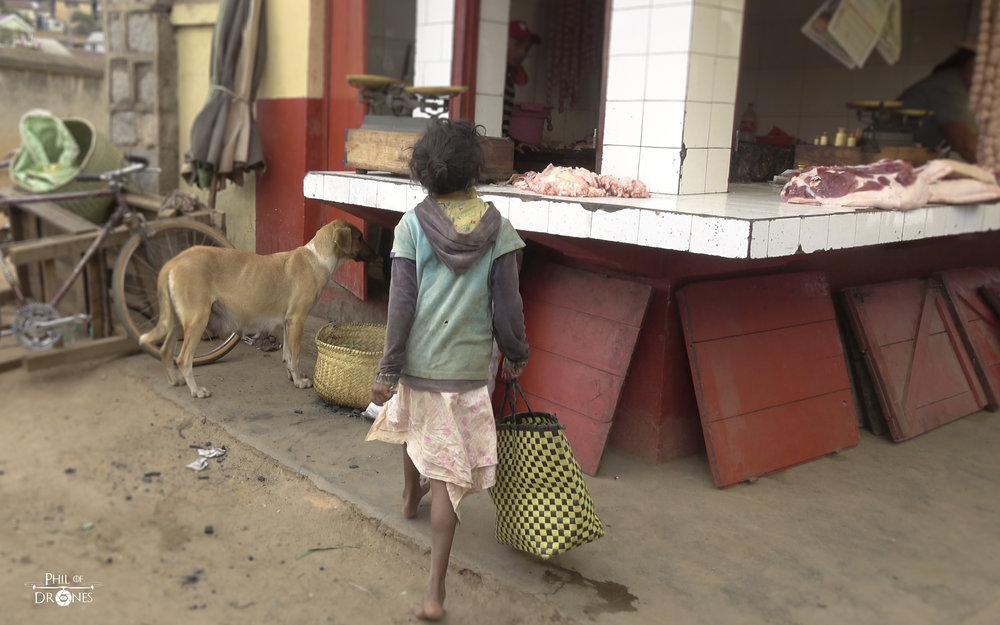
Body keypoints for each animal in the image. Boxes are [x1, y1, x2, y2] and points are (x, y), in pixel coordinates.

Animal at [142, 218, 376, 394]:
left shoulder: (287, 321)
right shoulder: (297, 319)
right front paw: (299, 381)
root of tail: (174, 261)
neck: (316, 258)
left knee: (165, 351)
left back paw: (175, 381)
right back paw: (196, 390)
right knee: (183, 359)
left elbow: (288, 354)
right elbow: (295, 356)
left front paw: (292, 376)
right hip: (197, 320)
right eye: (360, 237)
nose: (377, 254)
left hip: (176, 322)